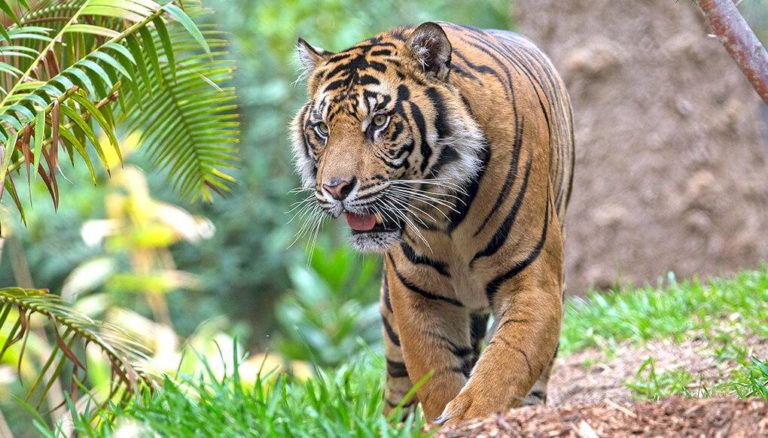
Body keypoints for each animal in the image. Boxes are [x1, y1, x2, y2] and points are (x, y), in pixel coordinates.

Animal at [290, 21, 574, 425]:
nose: (335, 188)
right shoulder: (417, 296)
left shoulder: (534, 284)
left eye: (379, 121)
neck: (444, 215)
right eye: (322, 129)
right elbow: (436, 374)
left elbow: (505, 364)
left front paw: (468, 414)